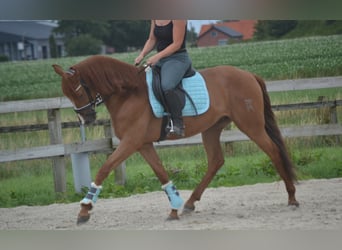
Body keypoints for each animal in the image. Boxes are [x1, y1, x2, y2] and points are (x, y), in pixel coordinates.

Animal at [52, 55, 298, 224]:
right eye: (68, 94)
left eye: (78, 91)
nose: (86, 118)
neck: (128, 93)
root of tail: (249, 75)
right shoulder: (142, 144)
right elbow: (161, 172)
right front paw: (174, 207)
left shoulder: (131, 142)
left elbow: (105, 168)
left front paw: (84, 209)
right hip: (212, 129)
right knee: (216, 161)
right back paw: (189, 203)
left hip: (250, 125)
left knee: (273, 151)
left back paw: (292, 198)